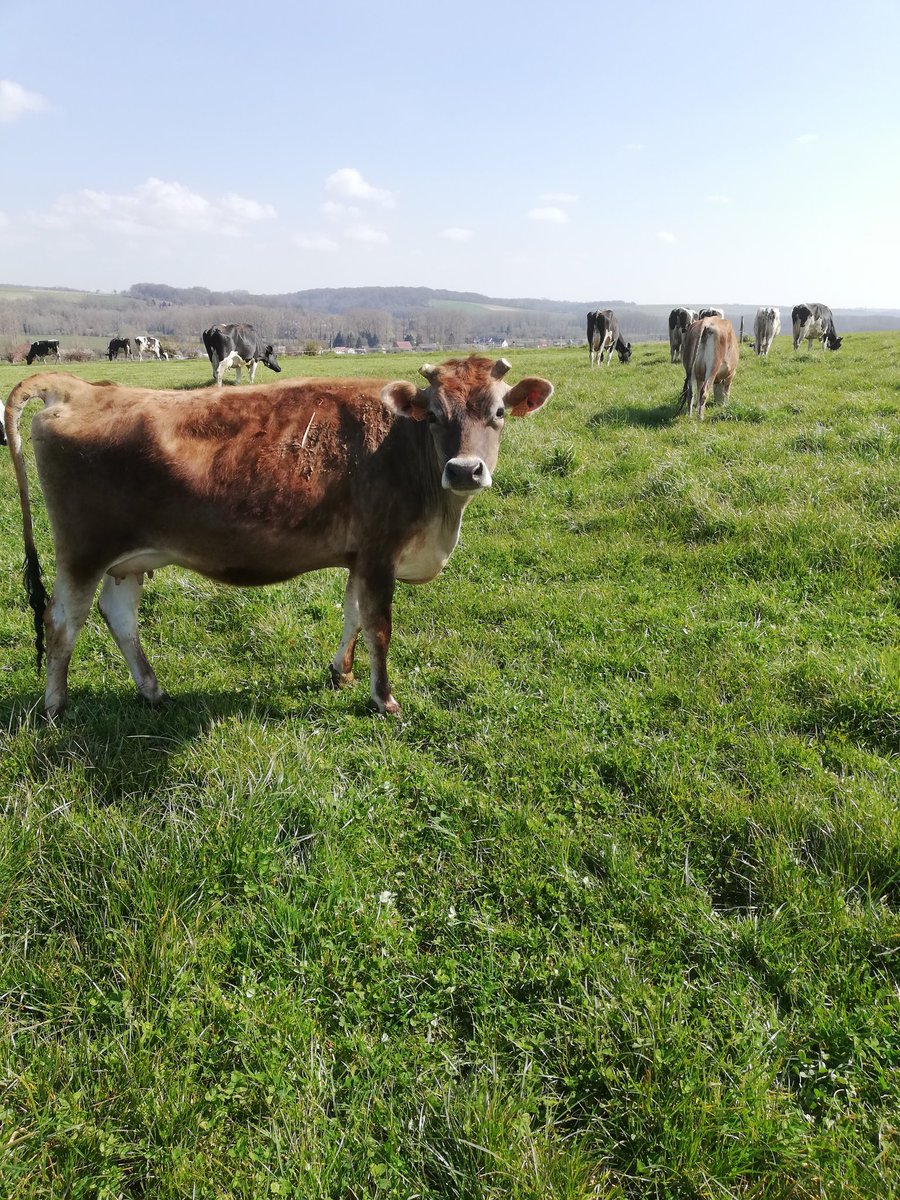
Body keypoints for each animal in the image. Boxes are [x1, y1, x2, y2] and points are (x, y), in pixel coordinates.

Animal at [4, 356, 553, 719]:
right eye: (434, 414)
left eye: (498, 413)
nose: (464, 470)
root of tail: (78, 388)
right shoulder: (380, 552)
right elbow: (378, 626)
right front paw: (384, 698)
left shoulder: (359, 555)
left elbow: (353, 614)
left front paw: (340, 673)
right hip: (82, 552)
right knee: (61, 622)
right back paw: (55, 707)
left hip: (129, 558)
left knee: (118, 617)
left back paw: (153, 691)